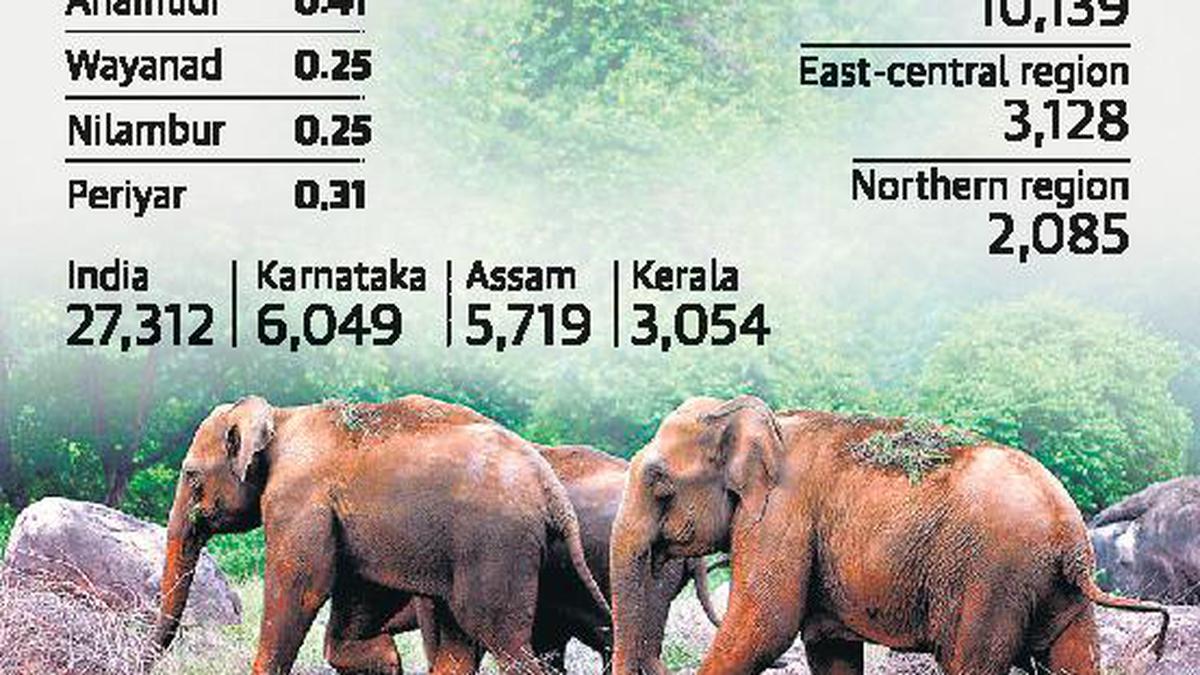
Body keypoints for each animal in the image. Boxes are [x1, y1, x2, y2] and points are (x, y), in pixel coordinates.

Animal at [153, 395, 609, 675]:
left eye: (191, 476)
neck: (281, 416)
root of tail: (550, 487)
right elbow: (355, 600)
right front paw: (386, 658)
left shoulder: (299, 500)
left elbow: (302, 586)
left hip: (497, 548)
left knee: (501, 638)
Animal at [610, 395, 1171, 675]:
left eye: (658, 481)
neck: (763, 420)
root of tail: (1070, 537)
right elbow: (828, 648)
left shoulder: (779, 518)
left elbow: (762, 628)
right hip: (1057, 591)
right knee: (1074, 657)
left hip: (993, 580)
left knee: (969, 662)